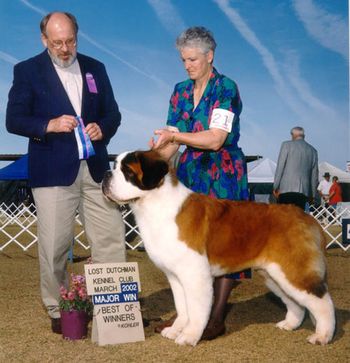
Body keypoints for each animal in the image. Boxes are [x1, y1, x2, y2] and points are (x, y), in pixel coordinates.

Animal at [101, 150, 334, 346]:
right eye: (115, 165)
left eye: (128, 171)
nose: (105, 175)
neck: (154, 204)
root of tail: (306, 217)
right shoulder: (175, 276)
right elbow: (182, 307)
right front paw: (175, 329)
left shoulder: (195, 274)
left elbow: (196, 310)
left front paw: (189, 337)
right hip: (274, 275)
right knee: (296, 302)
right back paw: (290, 324)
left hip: (293, 271)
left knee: (322, 302)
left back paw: (322, 336)